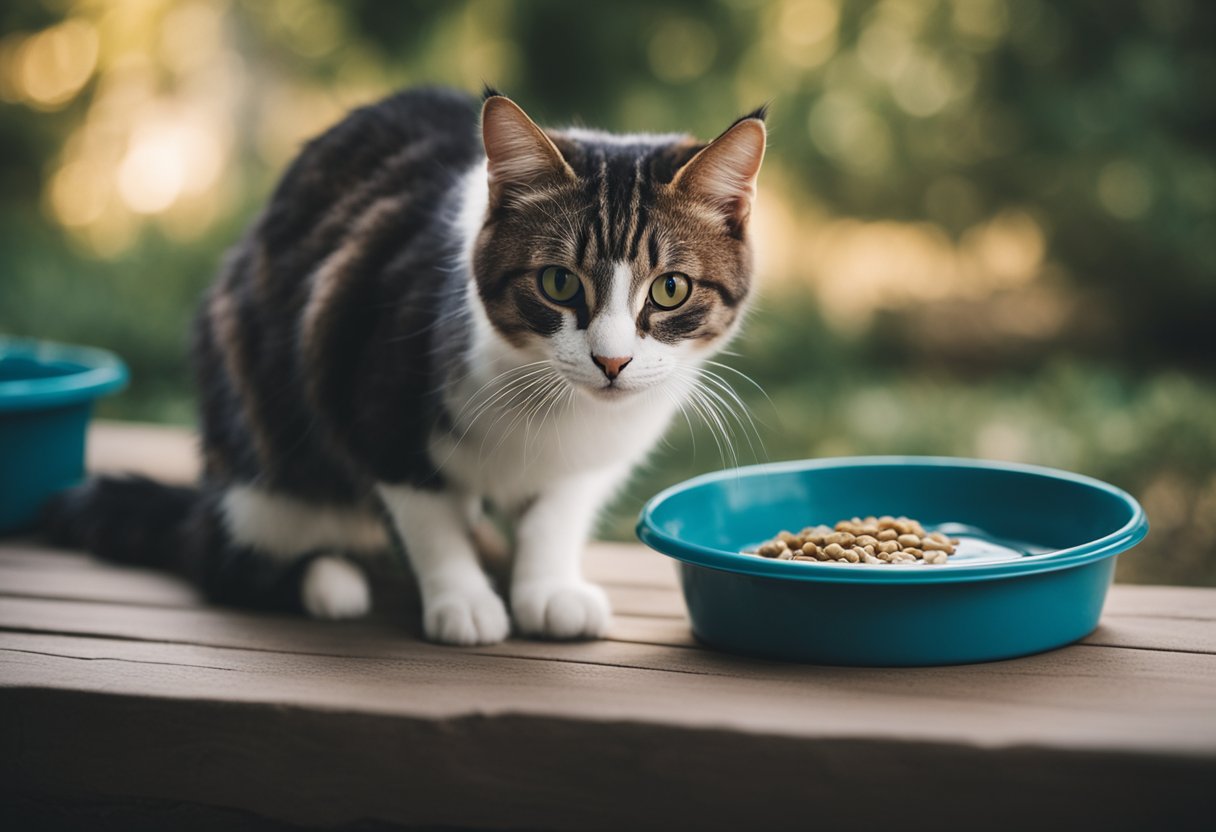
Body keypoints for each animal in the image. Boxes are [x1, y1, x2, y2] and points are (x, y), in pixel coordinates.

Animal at [49, 86, 768, 642]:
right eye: (559, 282)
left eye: (670, 289)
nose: (612, 360)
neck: (552, 406)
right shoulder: (368, 385)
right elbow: (425, 510)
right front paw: (464, 601)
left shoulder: (596, 452)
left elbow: (558, 509)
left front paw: (546, 587)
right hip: (262, 435)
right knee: (224, 549)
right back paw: (328, 580)